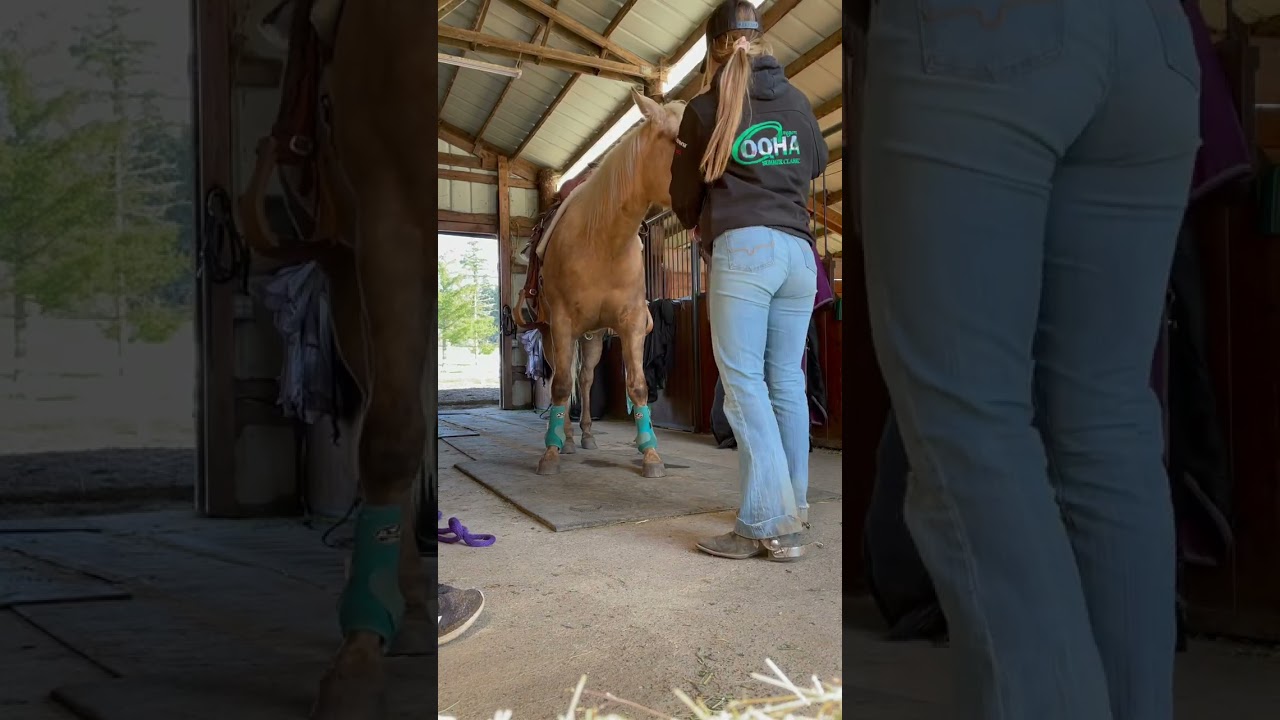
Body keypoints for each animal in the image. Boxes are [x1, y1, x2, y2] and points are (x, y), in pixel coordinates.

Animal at [519, 90, 686, 479]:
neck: (601, 241)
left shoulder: (632, 322)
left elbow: (637, 385)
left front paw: (650, 454)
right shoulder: (562, 323)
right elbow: (559, 386)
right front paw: (550, 452)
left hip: (592, 336)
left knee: (584, 379)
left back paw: (586, 435)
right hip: (553, 334)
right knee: (563, 378)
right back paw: (564, 438)